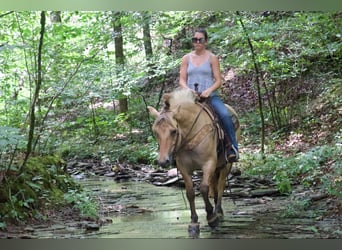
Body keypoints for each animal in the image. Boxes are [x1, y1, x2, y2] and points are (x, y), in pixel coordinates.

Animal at [147, 87, 240, 235]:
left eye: (174, 131)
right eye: (155, 132)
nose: (162, 161)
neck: (190, 134)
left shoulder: (208, 163)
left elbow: (203, 188)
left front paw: (211, 217)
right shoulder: (184, 168)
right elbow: (190, 192)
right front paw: (194, 222)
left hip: (226, 164)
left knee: (220, 186)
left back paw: (218, 212)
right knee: (214, 186)